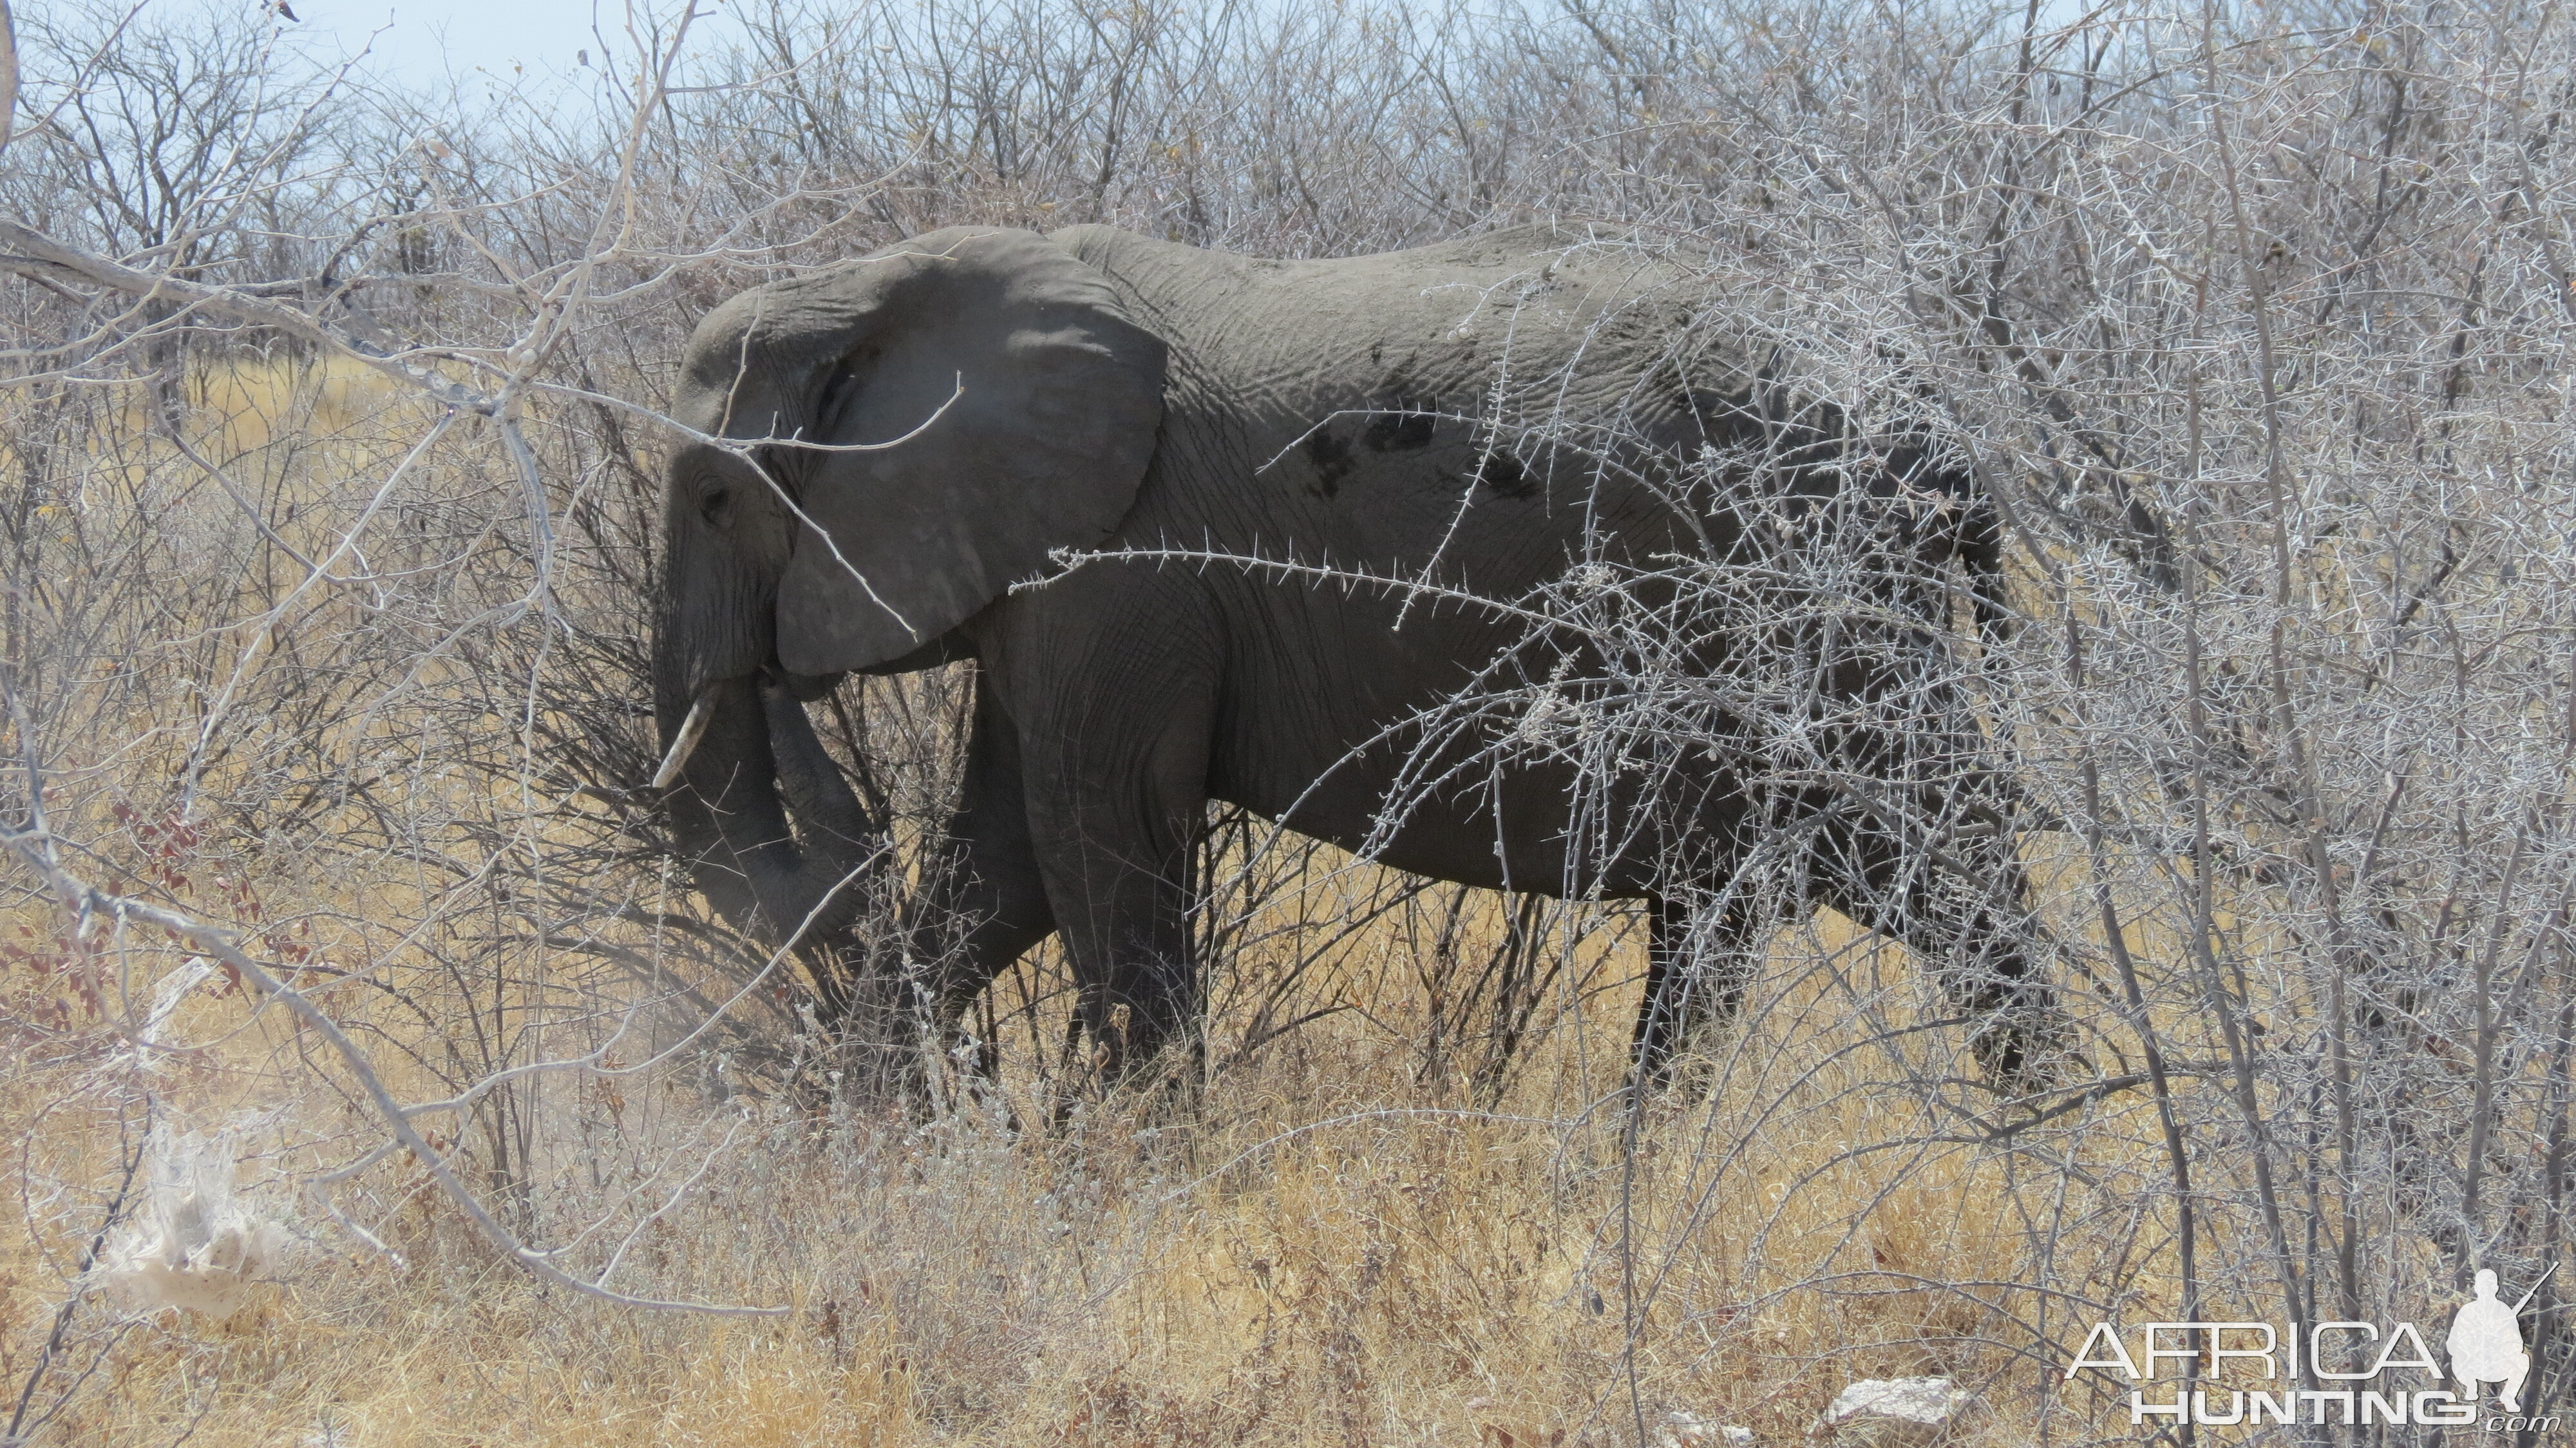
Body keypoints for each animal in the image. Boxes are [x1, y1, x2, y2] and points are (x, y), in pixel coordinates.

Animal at [649, 220, 2071, 1087]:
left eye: (710, 499)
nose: (768, 685)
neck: (879, 284)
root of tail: (1944, 437)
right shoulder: (1053, 576)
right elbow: (1003, 861)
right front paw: (880, 1130)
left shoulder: (1116, 570)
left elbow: (1096, 841)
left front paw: (1135, 1196)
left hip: (1823, 606)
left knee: (1926, 859)